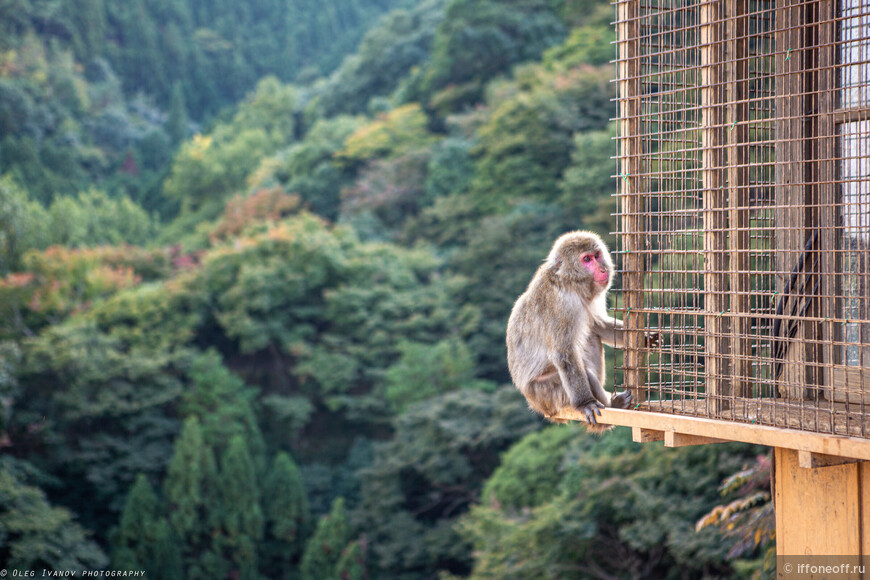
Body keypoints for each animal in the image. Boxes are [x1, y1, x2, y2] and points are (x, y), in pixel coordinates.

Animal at [510, 231, 640, 430]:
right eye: (586, 259)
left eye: (596, 255)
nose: (602, 270)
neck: (568, 282)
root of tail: (537, 405)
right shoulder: (561, 305)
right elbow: (565, 353)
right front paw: (586, 404)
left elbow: (597, 324)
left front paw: (646, 338)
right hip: (548, 393)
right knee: (583, 373)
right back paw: (612, 406)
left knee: (591, 336)